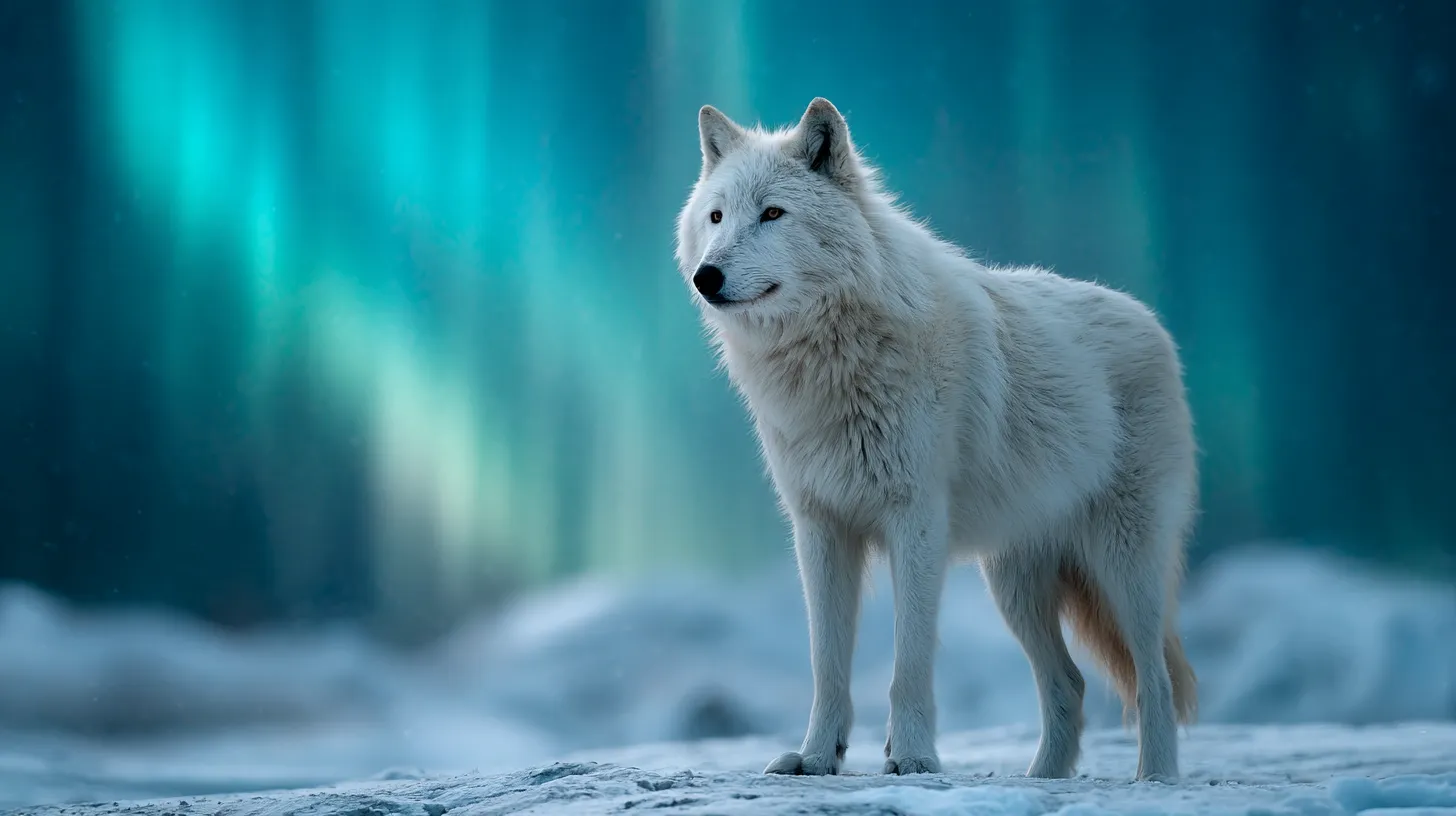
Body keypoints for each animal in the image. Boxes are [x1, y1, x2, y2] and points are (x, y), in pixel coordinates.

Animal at [673, 97, 1198, 782]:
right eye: (716, 216)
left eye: (772, 213)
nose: (706, 277)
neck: (833, 363)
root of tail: (1152, 320)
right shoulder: (820, 529)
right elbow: (827, 664)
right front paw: (816, 758)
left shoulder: (915, 522)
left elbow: (909, 661)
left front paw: (914, 757)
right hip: (1014, 586)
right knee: (1071, 684)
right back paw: (1042, 779)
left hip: (1124, 565)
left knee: (1153, 678)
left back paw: (1154, 777)